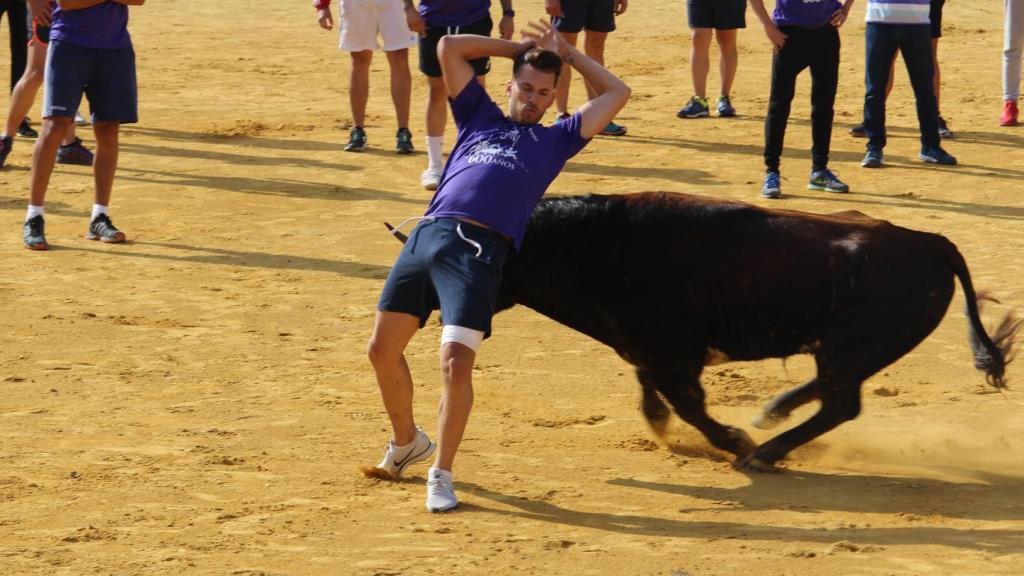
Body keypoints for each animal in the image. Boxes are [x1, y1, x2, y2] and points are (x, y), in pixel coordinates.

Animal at [389, 192, 1015, 471]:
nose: (427, 308)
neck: (587, 244)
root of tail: (930, 242)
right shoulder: (649, 349)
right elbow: (653, 390)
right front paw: (664, 425)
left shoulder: (669, 352)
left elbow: (687, 403)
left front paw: (731, 440)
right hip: (850, 348)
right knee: (834, 395)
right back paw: (773, 417)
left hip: (854, 343)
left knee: (841, 403)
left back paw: (762, 447)